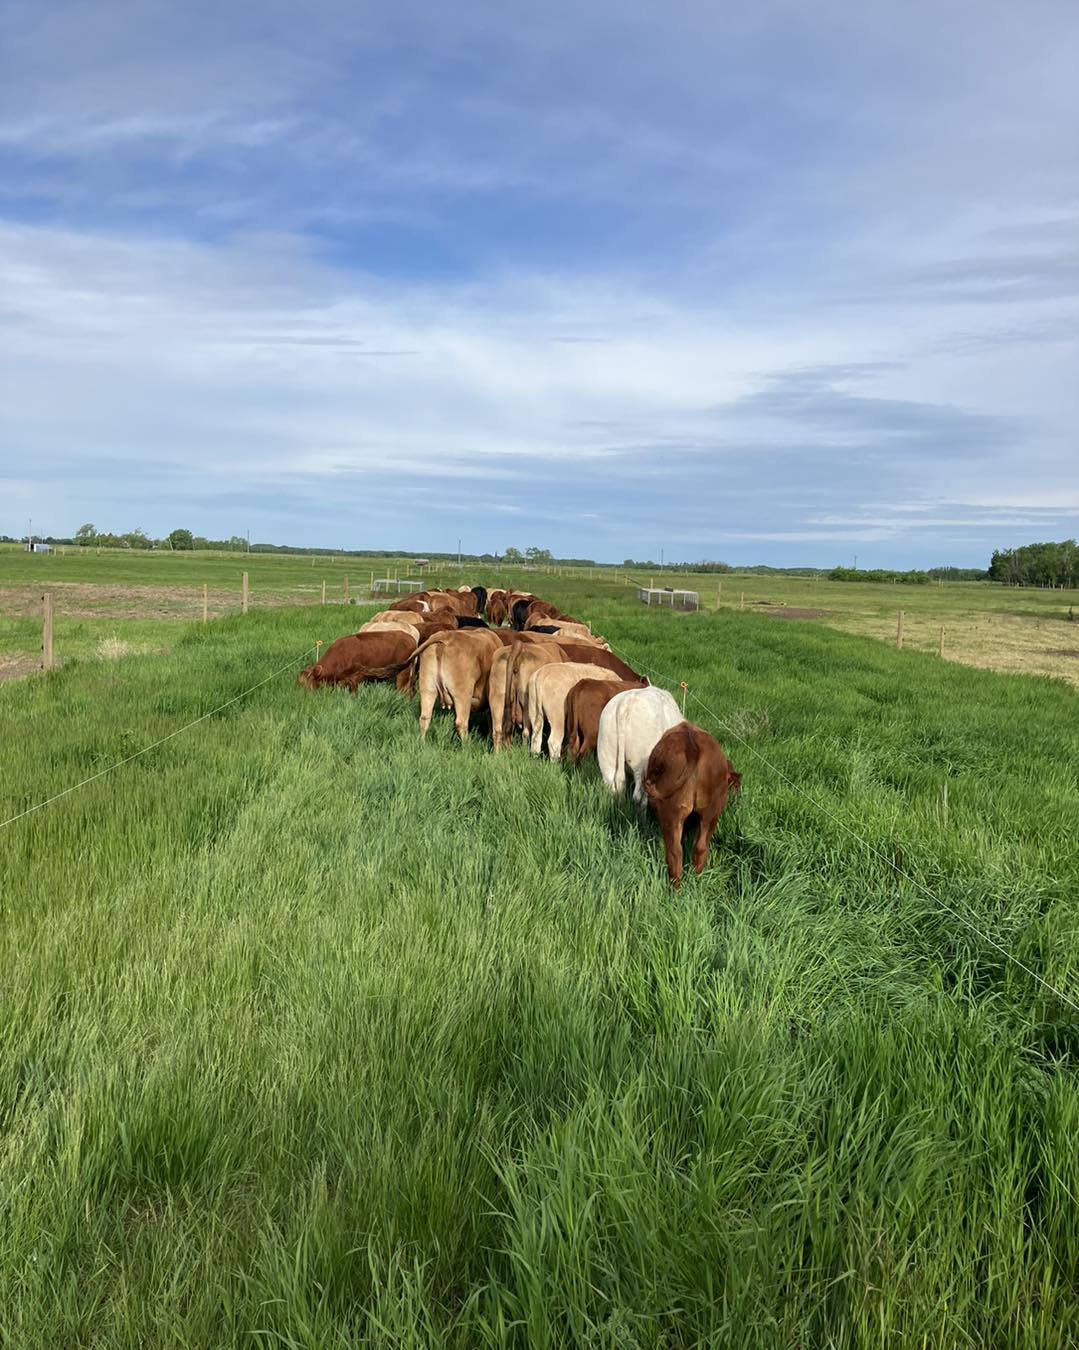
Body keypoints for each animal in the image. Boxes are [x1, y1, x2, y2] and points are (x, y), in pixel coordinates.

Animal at [642, 723, 745, 891]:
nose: (737, 796)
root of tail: (692, 745)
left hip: (671, 812)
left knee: (675, 852)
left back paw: (675, 889)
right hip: (712, 811)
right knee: (700, 846)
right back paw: (697, 880)